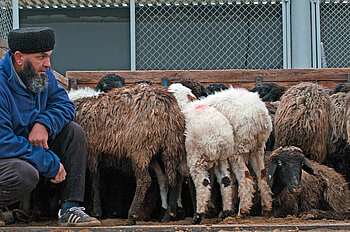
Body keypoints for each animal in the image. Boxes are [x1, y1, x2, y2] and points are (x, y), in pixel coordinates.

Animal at [74, 85, 186, 225]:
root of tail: (167, 106)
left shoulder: (93, 151)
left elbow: (95, 181)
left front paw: (97, 212)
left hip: (141, 146)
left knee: (144, 180)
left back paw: (132, 216)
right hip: (170, 146)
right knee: (174, 179)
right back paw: (168, 215)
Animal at [167, 82, 234, 224]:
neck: (183, 105)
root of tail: (217, 136)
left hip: (197, 157)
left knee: (203, 183)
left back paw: (198, 216)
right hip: (222, 158)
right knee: (225, 181)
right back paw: (226, 212)